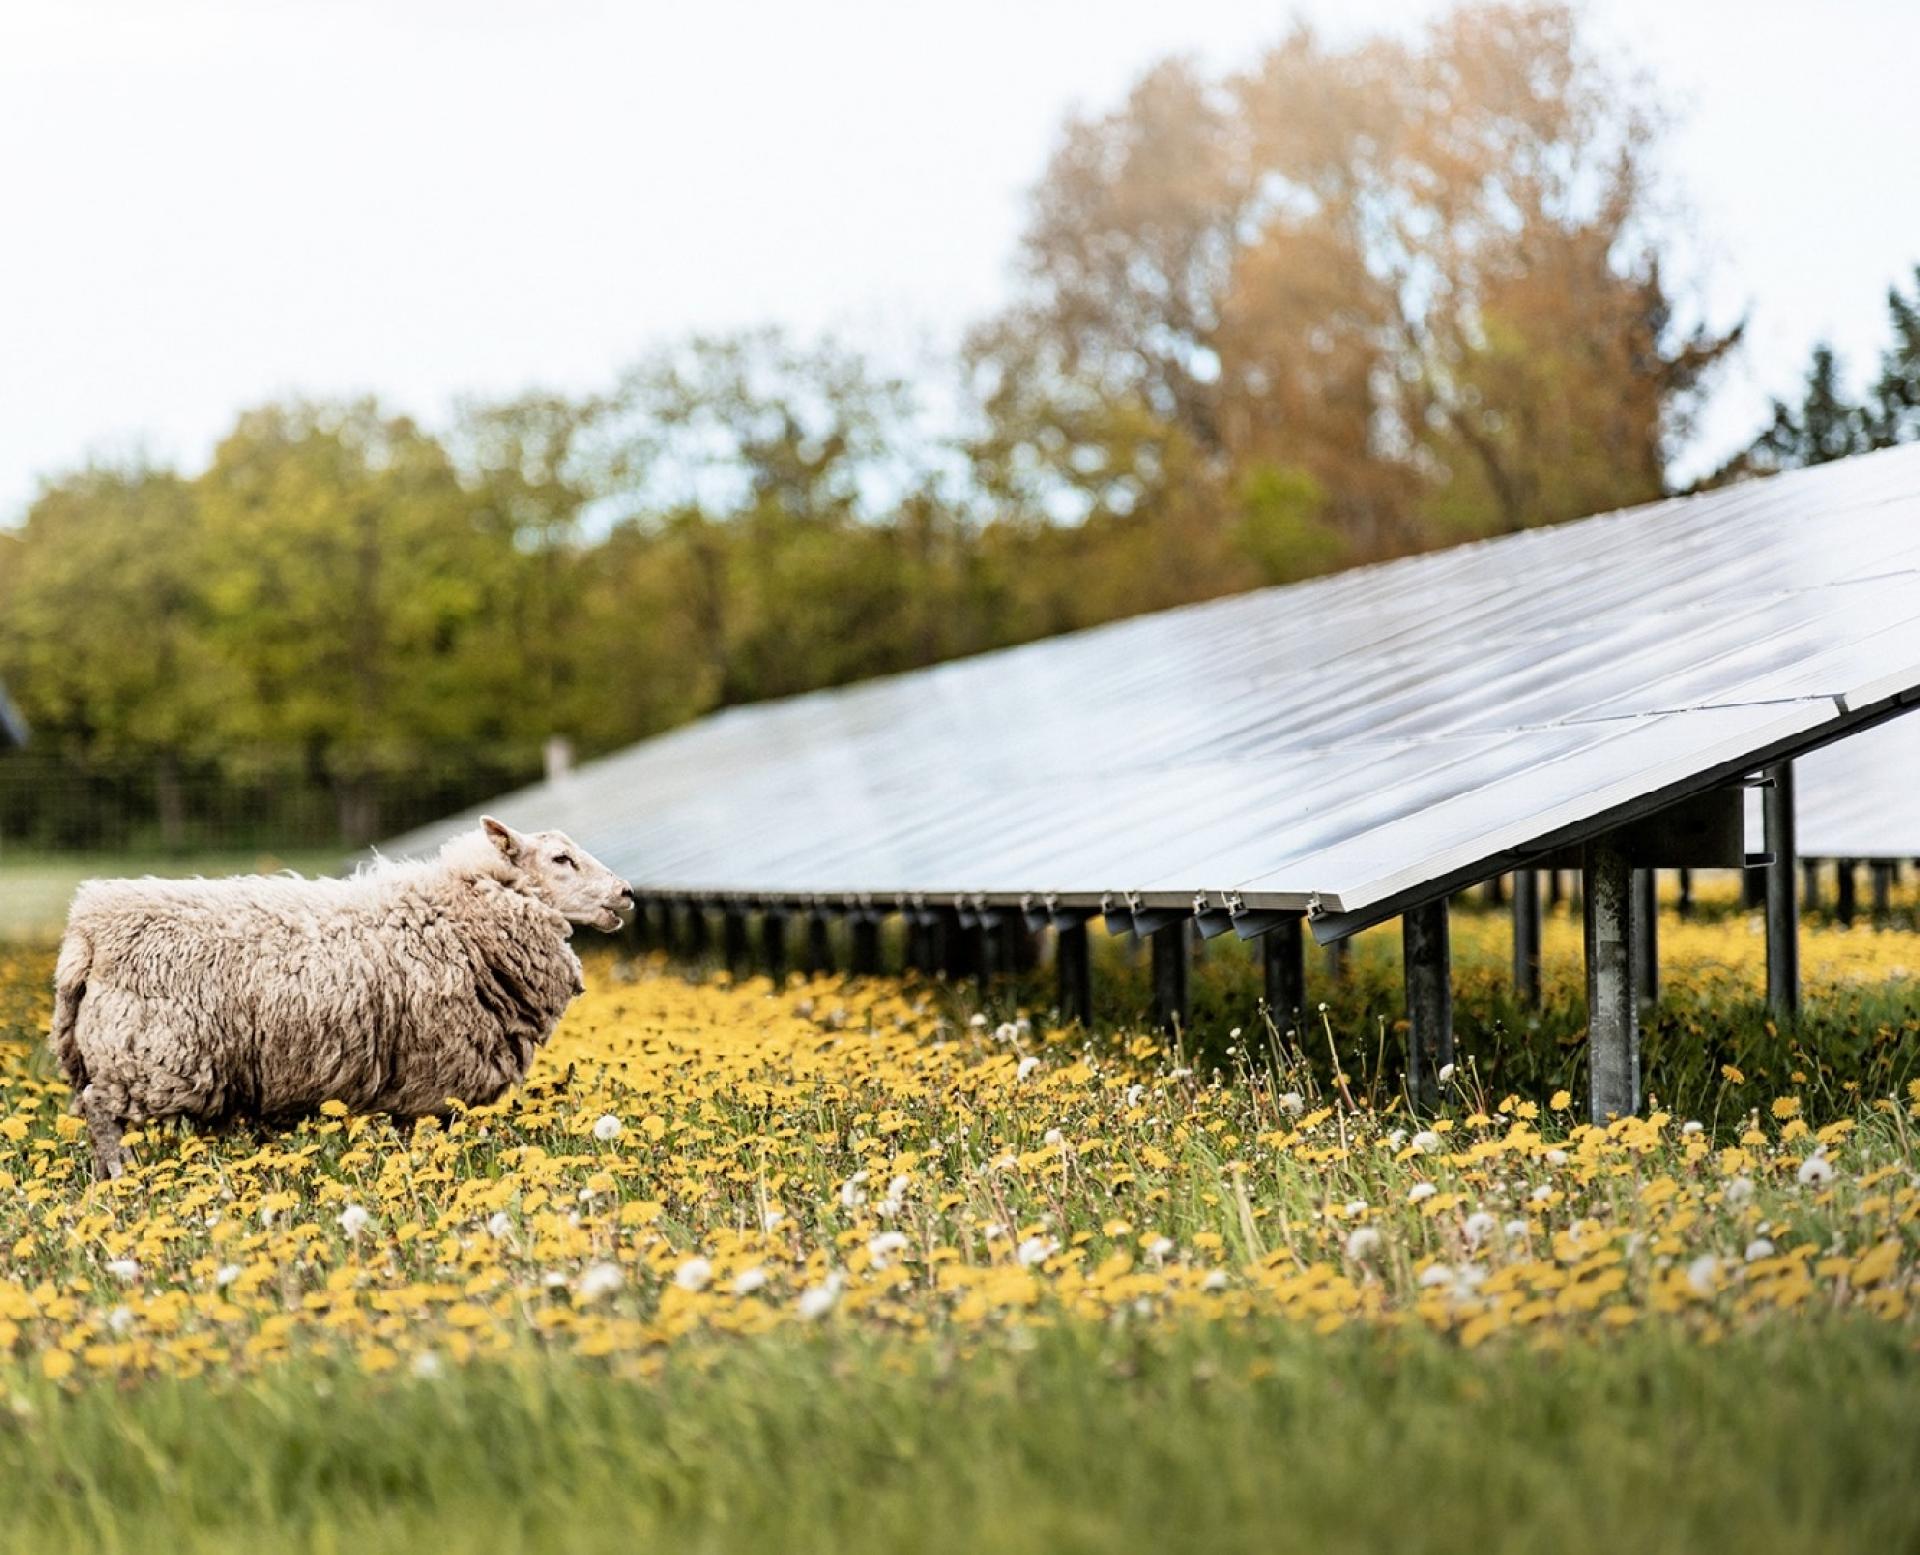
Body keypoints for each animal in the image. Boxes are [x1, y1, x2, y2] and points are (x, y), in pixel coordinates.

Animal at [48, 810, 633, 1174]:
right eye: (560, 860)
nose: (626, 893)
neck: (459, 910)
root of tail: (88, 924)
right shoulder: (434, 1074)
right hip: (152, 1056)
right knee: (100, 1113)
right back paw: (121, 1177)